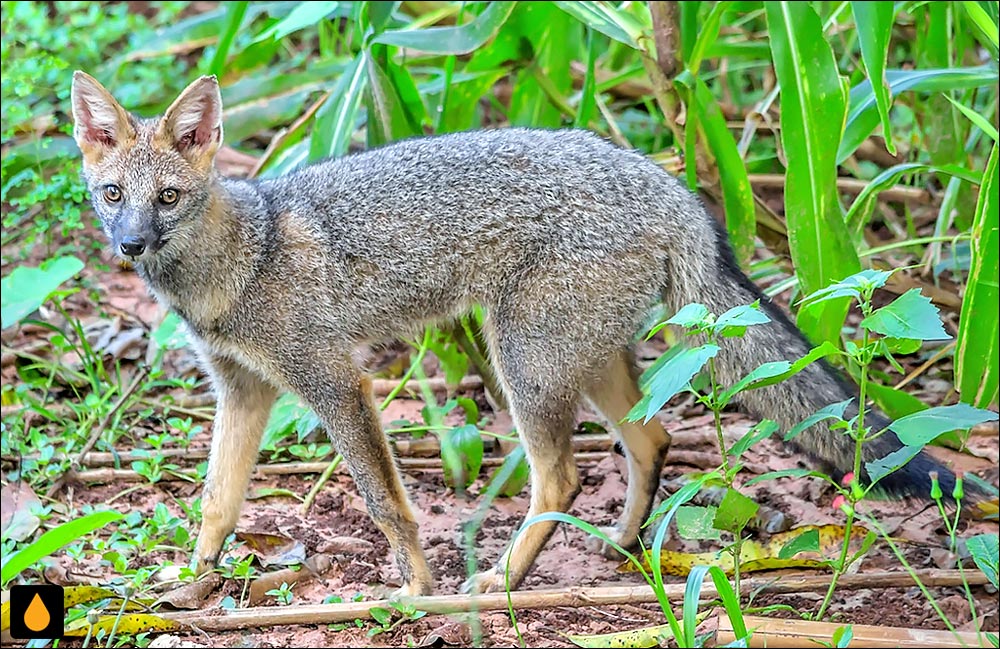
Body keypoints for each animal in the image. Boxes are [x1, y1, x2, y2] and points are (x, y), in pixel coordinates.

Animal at [70, 72, 976, 596]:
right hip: (579, 359)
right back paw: (621, 548)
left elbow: (386, 501)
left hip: (524, 364)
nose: (131, 246)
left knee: (563, 476)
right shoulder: (243, 390)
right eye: (113, 194)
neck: (242, 255)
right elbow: (216, 504)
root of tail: (664, 183)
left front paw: (416, 588)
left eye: (169, 198)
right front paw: (190, 590)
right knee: (650, 438)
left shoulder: (334, 380)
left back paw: (504, 581)